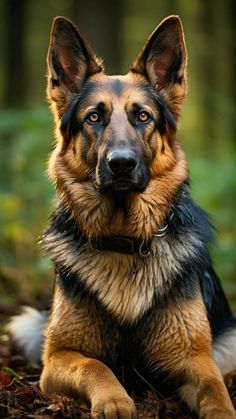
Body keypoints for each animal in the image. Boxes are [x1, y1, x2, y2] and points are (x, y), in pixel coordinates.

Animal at [8, 14, 236, 418]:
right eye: (94, 117)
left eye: (143, 116)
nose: (122, 164)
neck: (124, 240)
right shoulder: (58, 358)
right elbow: (95, 366)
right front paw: (114, 401)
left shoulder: (195, 360)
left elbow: (216, 391)